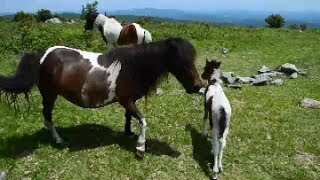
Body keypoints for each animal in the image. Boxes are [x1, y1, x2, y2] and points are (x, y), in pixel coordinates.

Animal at [0, 37, 202, 156]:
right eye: (182, 61)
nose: (198, 86)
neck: (132, 67)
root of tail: (42, 55)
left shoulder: (129, 101)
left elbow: (129, 117)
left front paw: (129, 134)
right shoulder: (126, 100)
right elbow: (143, 120)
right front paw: (140, 147)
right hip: (49, 95)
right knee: (47, 116)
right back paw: (58, 139)